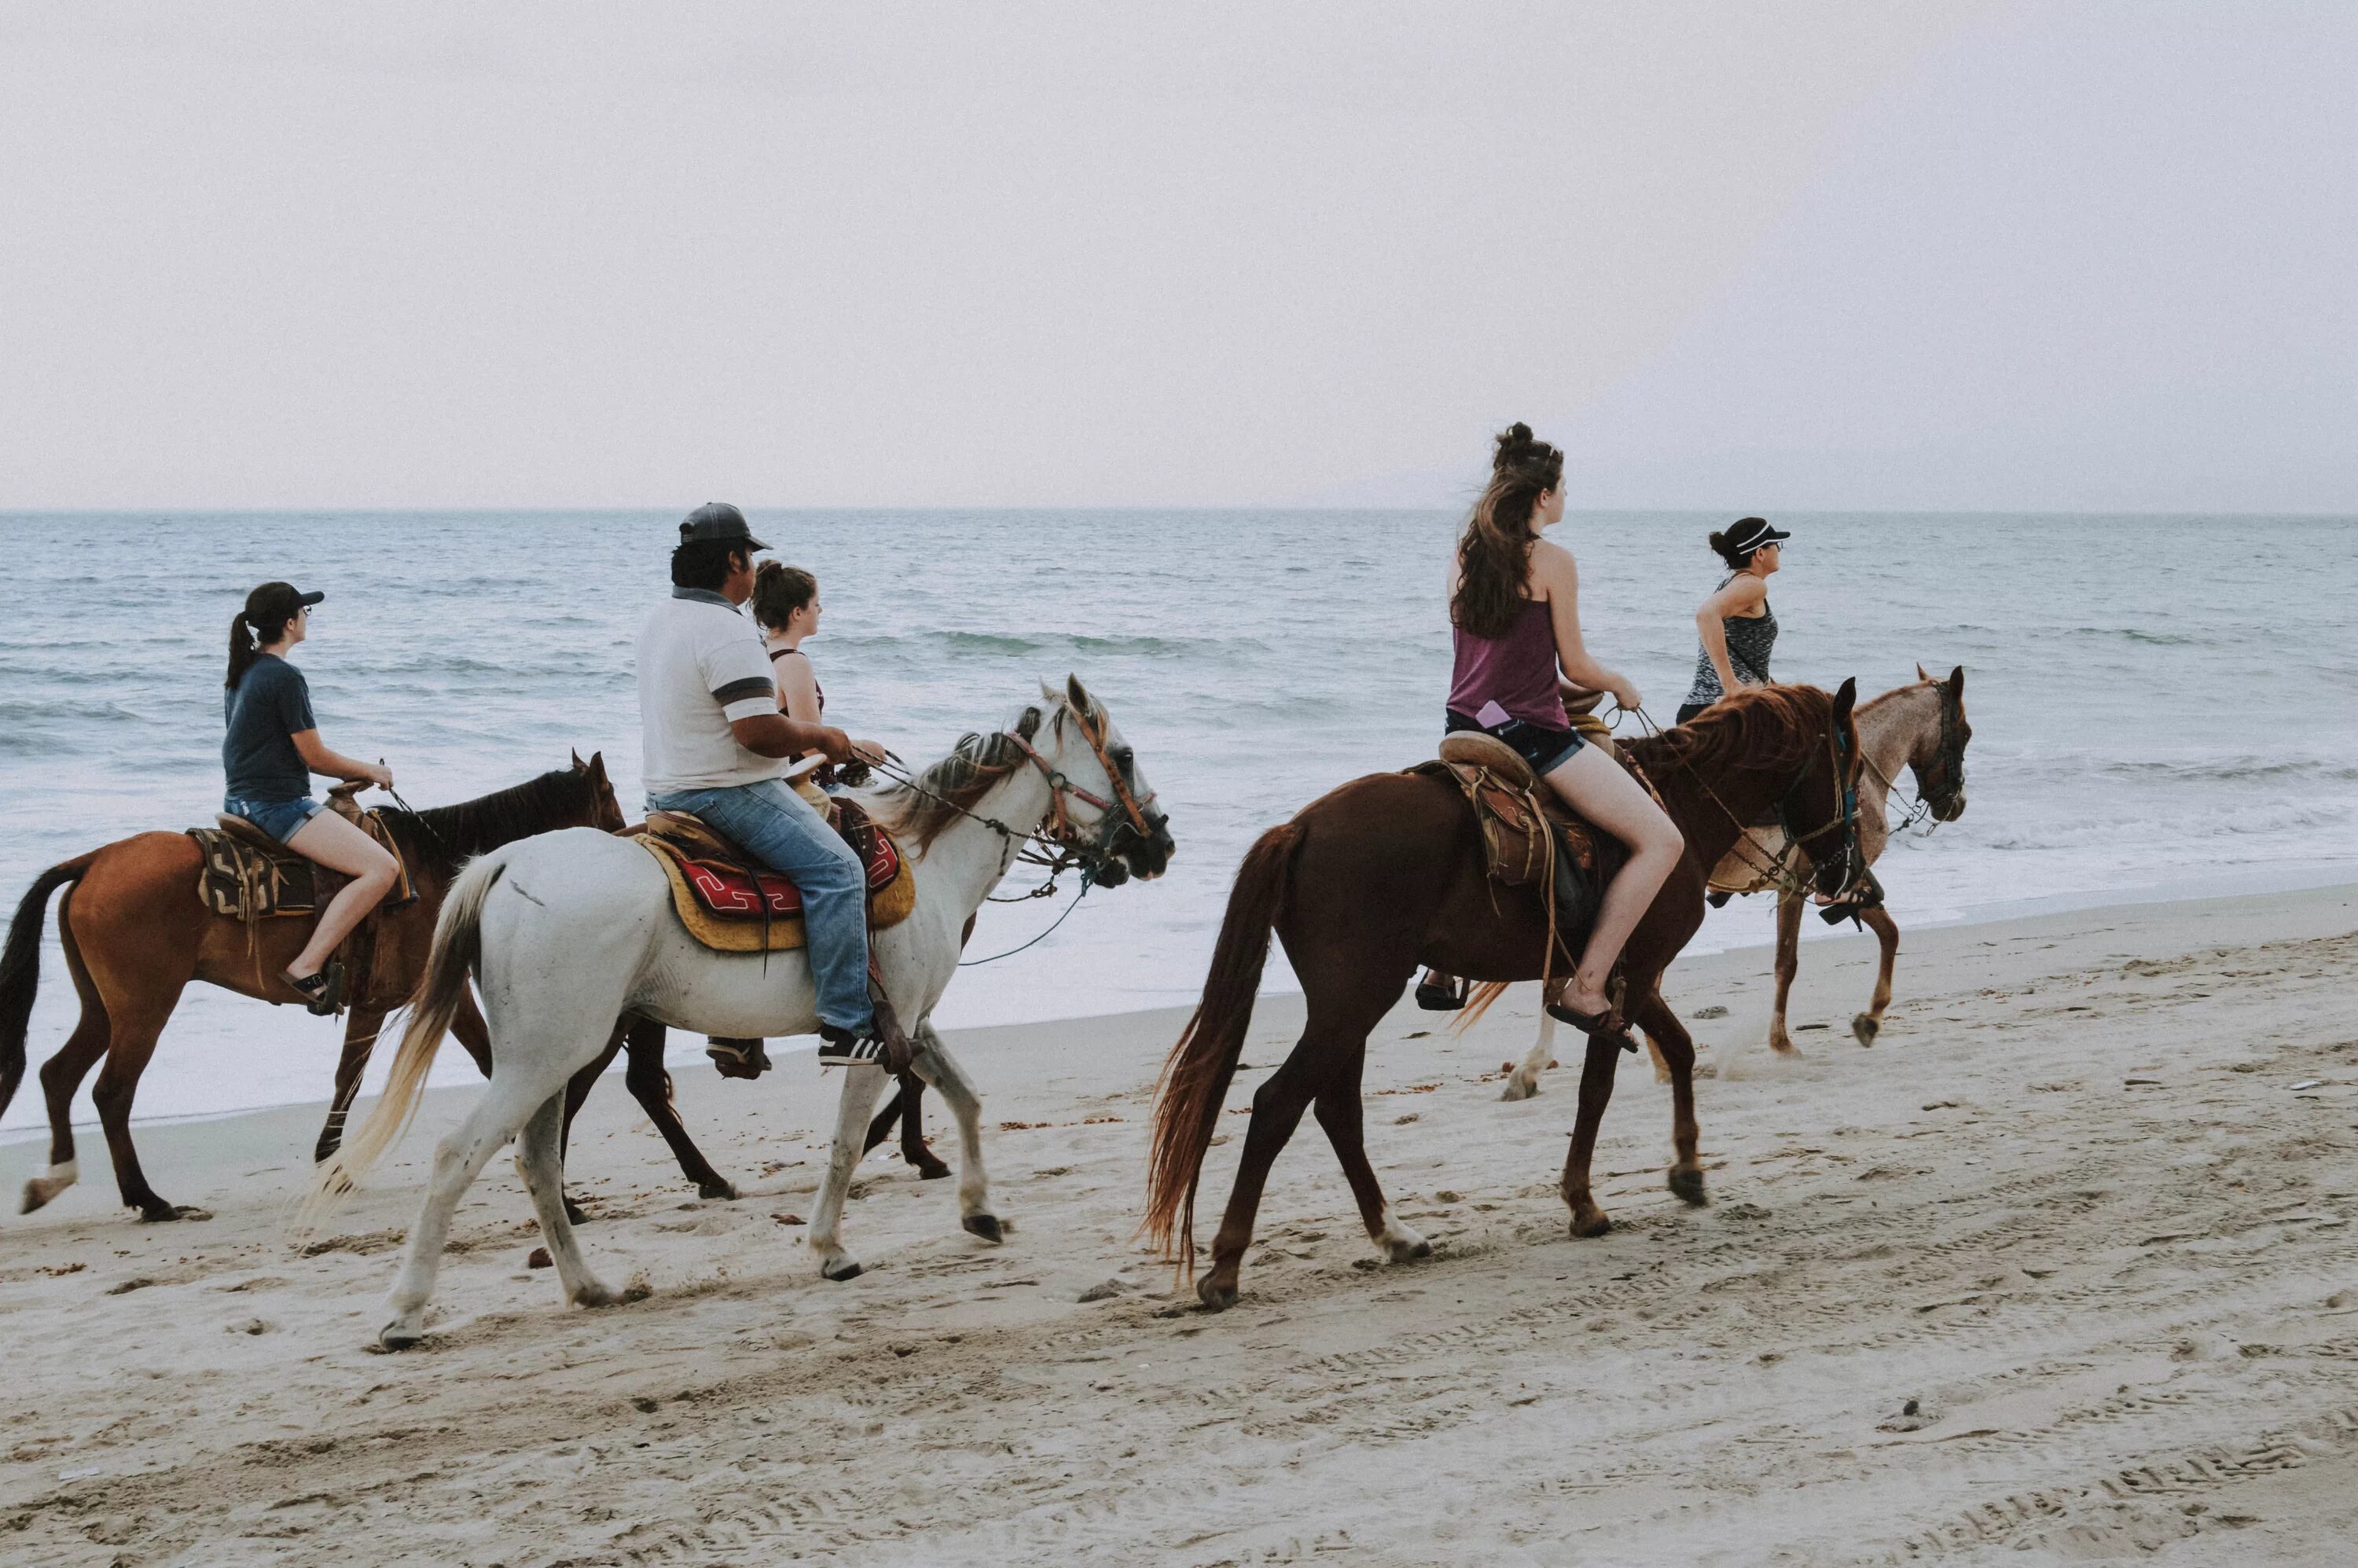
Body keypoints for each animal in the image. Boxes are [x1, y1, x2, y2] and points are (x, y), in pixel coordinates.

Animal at [0, 759, 736, 1226]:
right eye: (609, 806)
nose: (642, 848)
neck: (440, 866)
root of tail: (93, 861)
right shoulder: (408, 998)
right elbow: (427, 1071)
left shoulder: (405, 1001)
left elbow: (363, 1075)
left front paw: (333, 1163)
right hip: (144, 1008)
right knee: (109, 1091)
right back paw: (146, 1197)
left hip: (105, 1007)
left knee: (60, 1074)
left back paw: (56, 1177)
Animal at [309, 674, 1174, 1349]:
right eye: (1126, 755)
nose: (1160, 844)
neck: (926, 860)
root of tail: (507, 860)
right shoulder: (875, 1033)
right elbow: (847, 1142)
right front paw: (828, 1248)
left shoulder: (912, 1023)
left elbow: (964, 1097)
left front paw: (980, 1210)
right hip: (548, 1054)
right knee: (460, 1155)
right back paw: (405, 1312)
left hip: (552, 1056)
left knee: (538, 1162)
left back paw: (589, 1286)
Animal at [1141, 684, 1858, 1311]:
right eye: (1849, 761)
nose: (1846, 865)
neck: (1678, 805)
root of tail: (1300, 829)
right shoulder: (1632, 973)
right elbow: (1601, 1085)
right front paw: (1587, 1202)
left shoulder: (1624, 975)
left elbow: (1676, 1051)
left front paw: (1685, 1168)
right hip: (1354, 1001)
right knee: (1278, 1103)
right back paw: (1227, 1265)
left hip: (1348, 1004)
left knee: (1336, 1109)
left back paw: (1394, 1235)